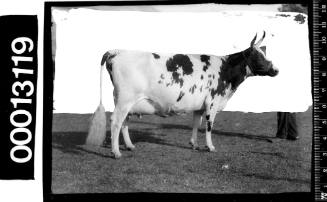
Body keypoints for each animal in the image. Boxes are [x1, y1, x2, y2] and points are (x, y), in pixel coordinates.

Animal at [87, 31, 280, 159]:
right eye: (259, 56)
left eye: (265, 54)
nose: (276, 70)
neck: (226, 71)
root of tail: (116, 51)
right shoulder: (212, 103)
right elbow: (209, 126)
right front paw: (210, 147)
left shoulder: (200, 105)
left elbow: (196, 123)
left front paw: (193, 144)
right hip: (125, 99)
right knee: (116, 122)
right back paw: (116, 152)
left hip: (124, 100)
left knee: (124, 123)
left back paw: (129, 146)